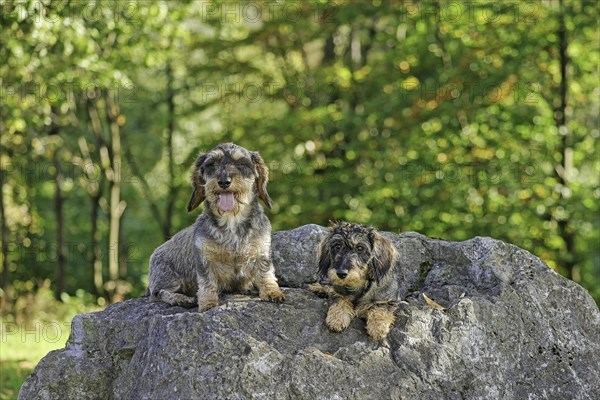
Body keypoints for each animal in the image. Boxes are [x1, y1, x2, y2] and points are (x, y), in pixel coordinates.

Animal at [146, 142, 284, 310]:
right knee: (159, 293)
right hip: (168, 278)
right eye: (211, 164)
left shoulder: (261, 252)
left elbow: (266, 274)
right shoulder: (205, 259)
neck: (231, 222)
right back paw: (180, 298)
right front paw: (208, 302)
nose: (224, 182)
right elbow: (207, 282)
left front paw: (271, 292)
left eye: (241, 163)